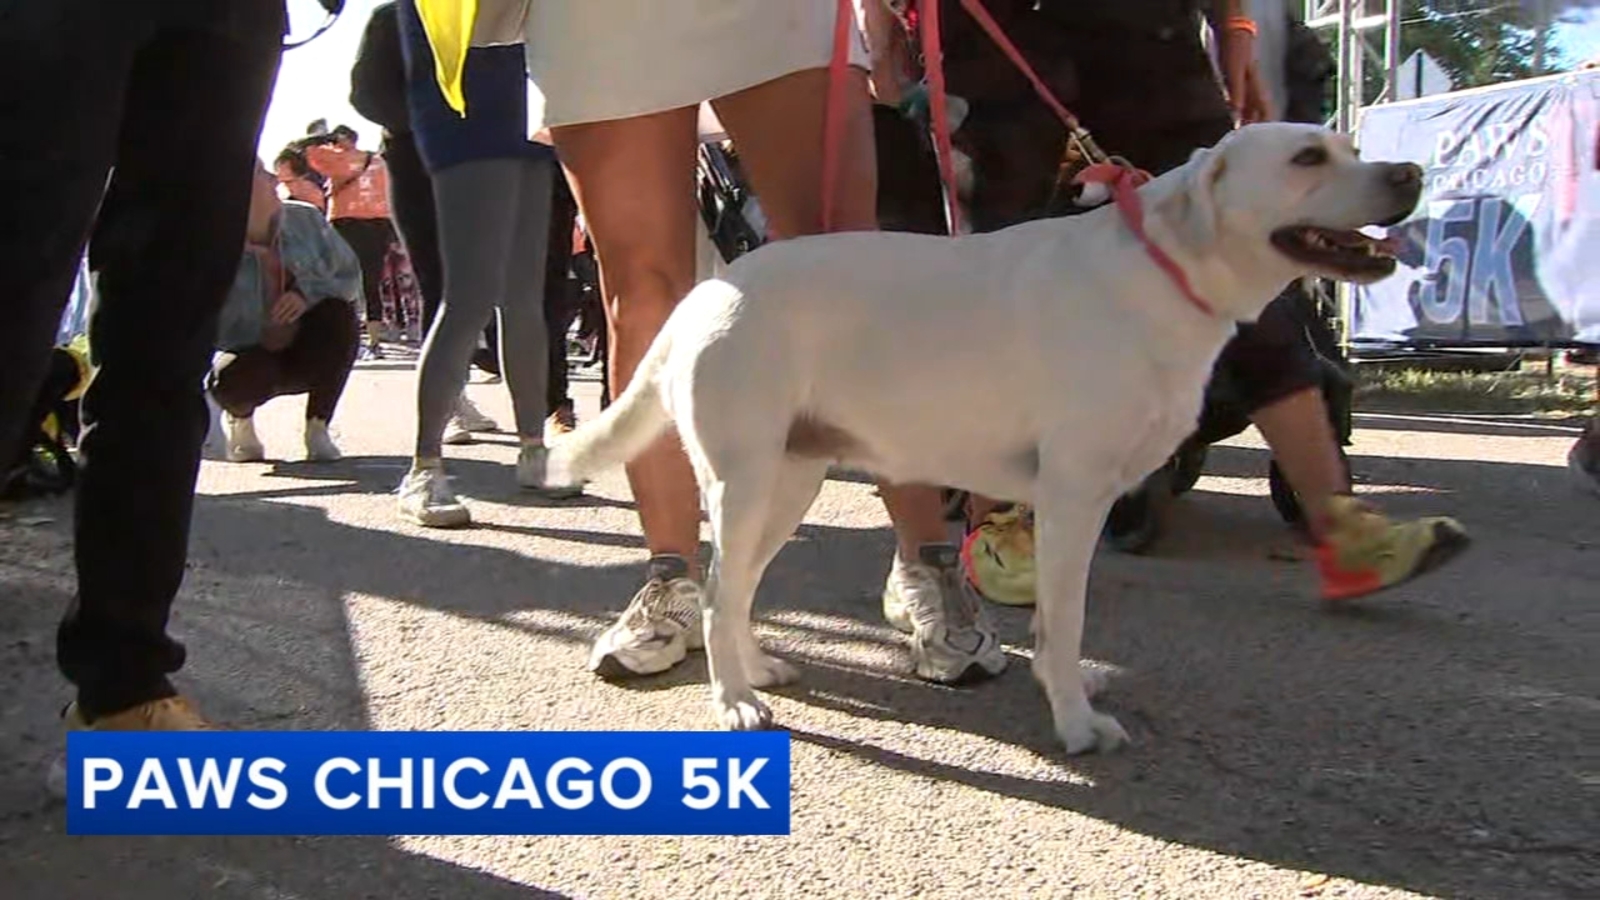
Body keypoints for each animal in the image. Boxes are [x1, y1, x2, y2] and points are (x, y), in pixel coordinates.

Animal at [540, 120, 1427, 749]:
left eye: (1349, 147)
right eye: (1307, 157)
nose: (1410, 174)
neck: (1163, 268)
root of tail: (710, 289)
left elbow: (1058, 626)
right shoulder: (1073, 494)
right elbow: (1064, 623)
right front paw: (1075, 723)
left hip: (789, 483)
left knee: (739, 590)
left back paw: (755, 670)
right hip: (745, 481)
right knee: (722, 591)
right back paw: (733, 701)